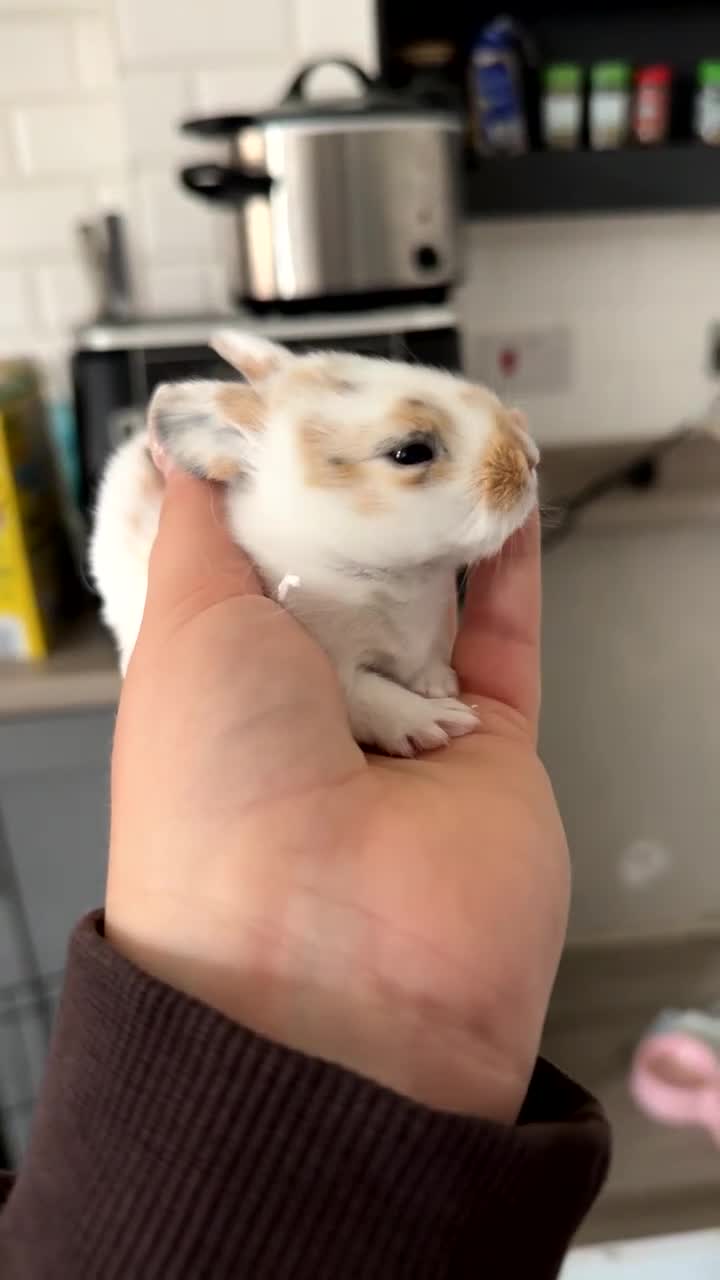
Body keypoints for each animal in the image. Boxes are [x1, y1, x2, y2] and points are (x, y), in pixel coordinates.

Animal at [90, 330, 539, 757]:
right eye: (410, 452)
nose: (530, 458)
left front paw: (439, 683)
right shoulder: (337, 666)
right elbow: (371, 698)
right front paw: (437, 719)